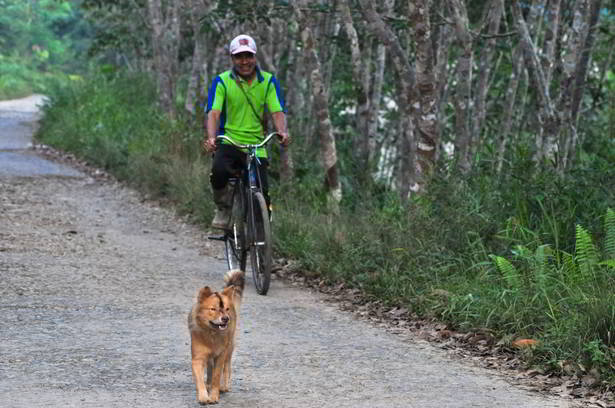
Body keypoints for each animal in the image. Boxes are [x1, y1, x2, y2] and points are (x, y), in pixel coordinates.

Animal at [188, 270, 245, 404]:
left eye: (227, 309)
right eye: (213, 309)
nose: (226, 319)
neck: (212, 332)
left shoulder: (220, 355)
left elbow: (217, 376)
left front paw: (214, 396)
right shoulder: (198, 358)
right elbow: (200, 379)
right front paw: (203, 396)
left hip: (229, 347)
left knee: (227, 366)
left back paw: (224, 386)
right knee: (209, 367)